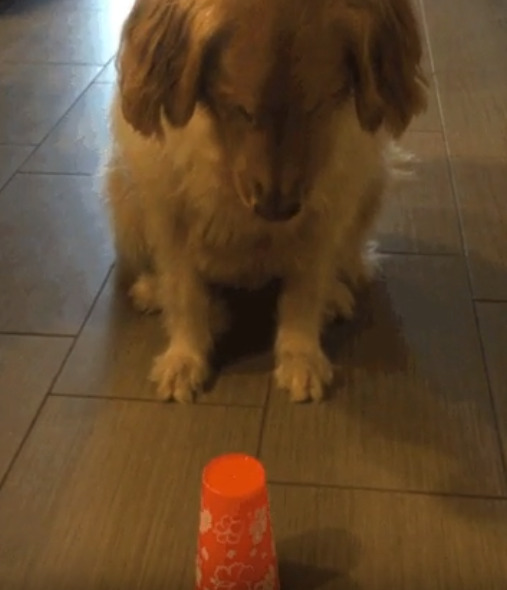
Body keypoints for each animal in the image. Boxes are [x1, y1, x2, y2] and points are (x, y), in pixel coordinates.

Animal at [104, 0, 428, 402]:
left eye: (319, 107)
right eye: (239, 109)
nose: (277, 208)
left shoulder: (323, 217)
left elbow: (304, 293)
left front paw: (302, 356)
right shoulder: (170, 215)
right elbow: (184, 293)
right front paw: (185, 358)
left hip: (371, 187)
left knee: (349, 258)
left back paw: (335, 294)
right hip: (122, 200)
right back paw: (157, 292)